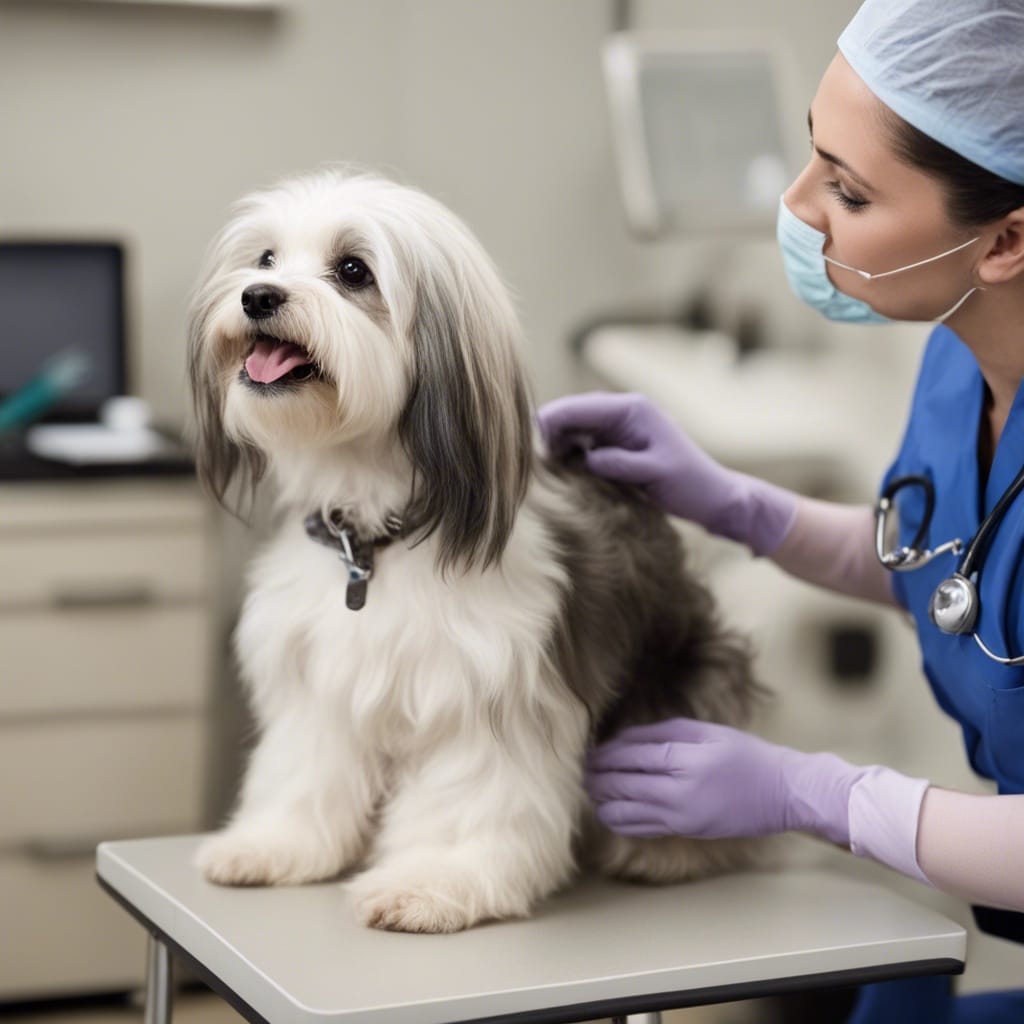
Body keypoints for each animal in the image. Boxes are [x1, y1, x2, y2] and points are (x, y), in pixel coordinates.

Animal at [188, 169, 765, 937]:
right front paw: (274, 844)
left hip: (682, 686)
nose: (256, 296)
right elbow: (305, 771)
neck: (375, 537)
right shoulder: (319, 689)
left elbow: (467, 802)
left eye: (353, 270)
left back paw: (671, 850)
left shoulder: (488, 696)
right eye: (267, 258)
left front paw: (429, 884)